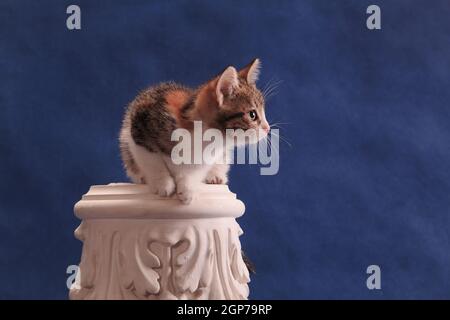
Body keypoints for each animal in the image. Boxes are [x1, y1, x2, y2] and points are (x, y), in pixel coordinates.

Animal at [118, 58, 268, 204]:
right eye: (252, 115)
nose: (267, 128)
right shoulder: (139, 126)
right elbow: (151, 160)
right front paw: (163, 184)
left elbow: (192, 173)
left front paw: (187, 188)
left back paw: (215, 176)